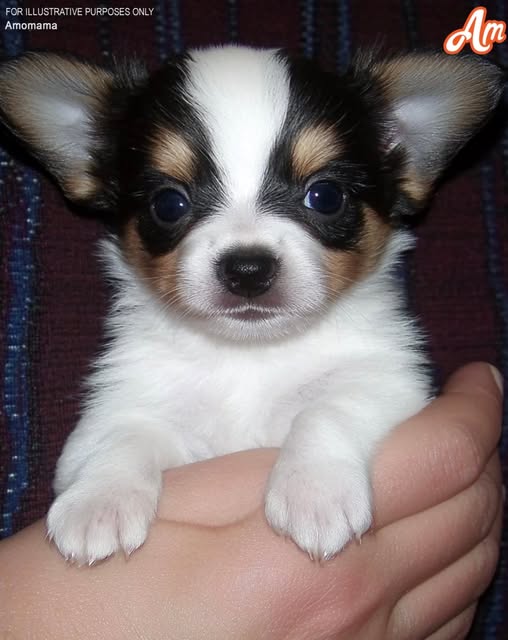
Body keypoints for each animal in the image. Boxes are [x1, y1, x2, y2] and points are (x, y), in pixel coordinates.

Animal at [0, 46, 502, 564]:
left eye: (325, 196)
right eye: (168, 204)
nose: (247, 268)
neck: (249, 355)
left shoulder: (390, 386)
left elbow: (325, 410)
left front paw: (314, 491)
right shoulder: (119, 409)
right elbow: (123, 436)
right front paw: (98, 501)